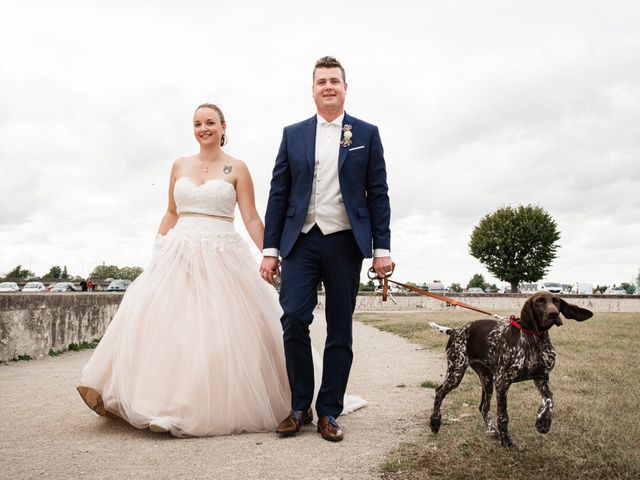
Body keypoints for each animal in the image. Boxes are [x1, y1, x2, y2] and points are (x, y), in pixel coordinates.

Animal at [428, 290, 592, 448]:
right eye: (539, 302)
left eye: (556, 301)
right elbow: (503, 416)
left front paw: (543, 421)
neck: (534, 339)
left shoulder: (541, 378)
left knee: (483, 406)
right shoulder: (502, 383)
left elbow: (549, 400)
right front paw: (506, 441)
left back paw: (491, 430)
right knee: (439, 392)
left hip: (487, 378)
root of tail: (456, 330)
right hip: (456, 371)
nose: (554, 314)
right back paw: (435, 422)